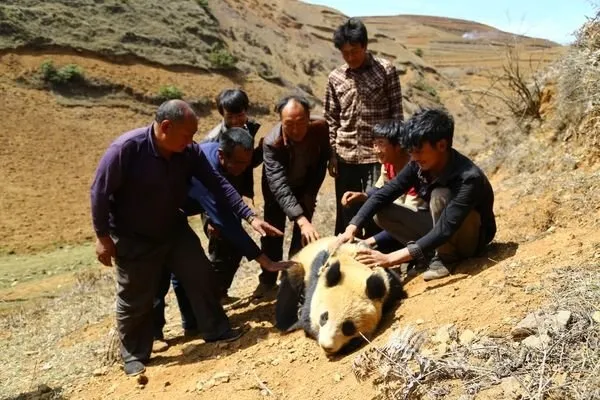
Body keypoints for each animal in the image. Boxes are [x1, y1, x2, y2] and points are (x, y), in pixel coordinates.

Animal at [274, 236, 406, 354]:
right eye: (324, 317)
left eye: (348, 327)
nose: (327, 346)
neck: (353, 267)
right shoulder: (318, 276)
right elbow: (307, 317)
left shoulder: (386, 279)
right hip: (299, 265)